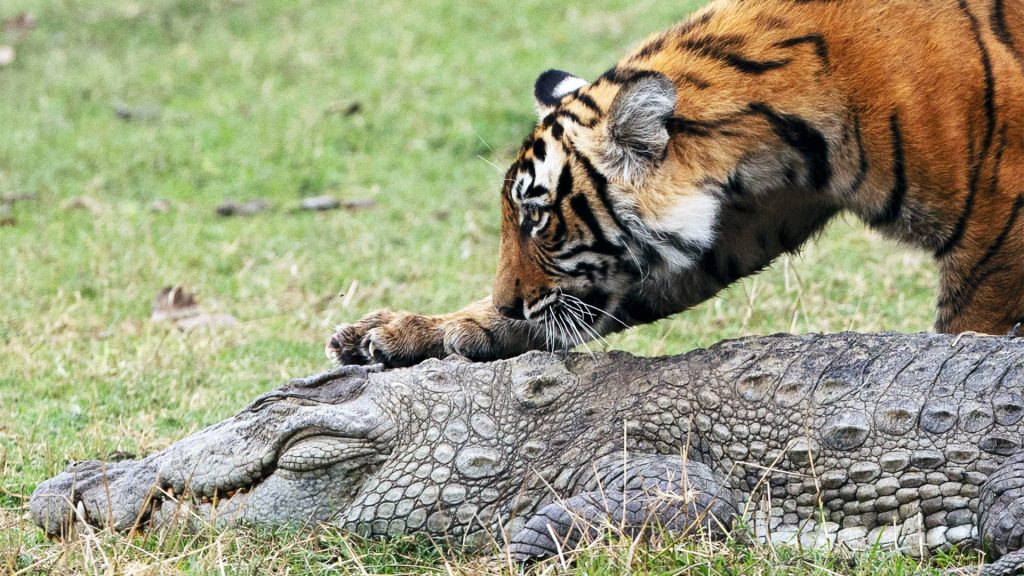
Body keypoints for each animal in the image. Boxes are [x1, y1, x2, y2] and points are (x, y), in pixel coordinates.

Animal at [325, 0, 1024, 366]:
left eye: (538, 218)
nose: (506, 303)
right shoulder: (736, 227)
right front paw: (407, 330)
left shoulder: (995, 235)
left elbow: (965, 339)